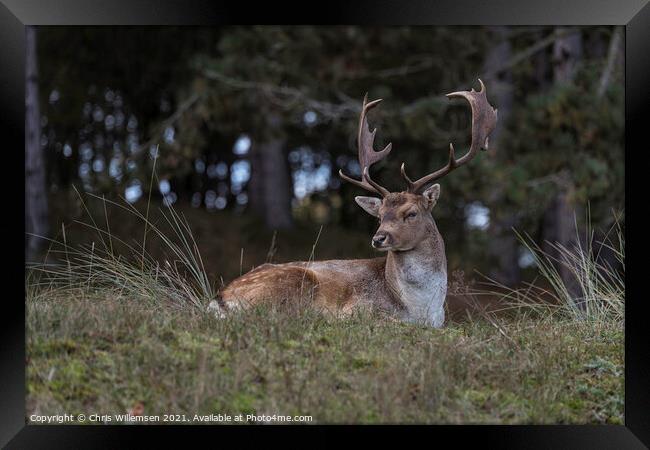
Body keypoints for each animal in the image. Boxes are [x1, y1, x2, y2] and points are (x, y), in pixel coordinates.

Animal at [214, 80, 496, 326]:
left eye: (411, 213)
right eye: (380, 215)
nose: (379, 238)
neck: (420, 307)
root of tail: (221, 298)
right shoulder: (359, 309)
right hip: (293, 282)